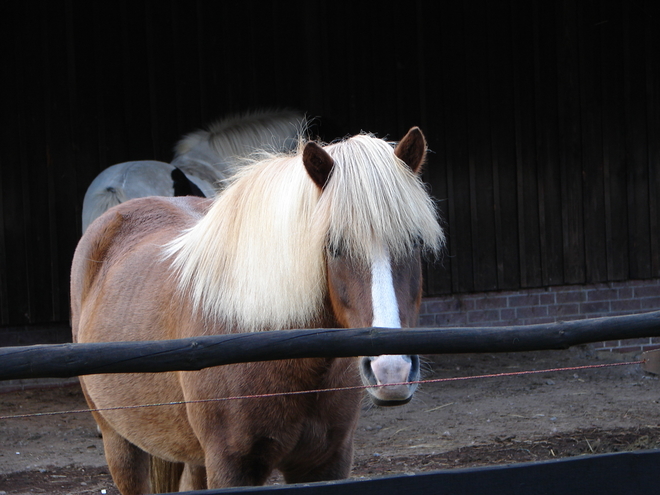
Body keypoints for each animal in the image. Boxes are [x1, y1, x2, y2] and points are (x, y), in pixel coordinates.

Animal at [71, 127, 444, 492]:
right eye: (333, 246)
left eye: (414, 242)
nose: (391, 370)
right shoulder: (231, 466)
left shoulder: (326, 462)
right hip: (121, 445)